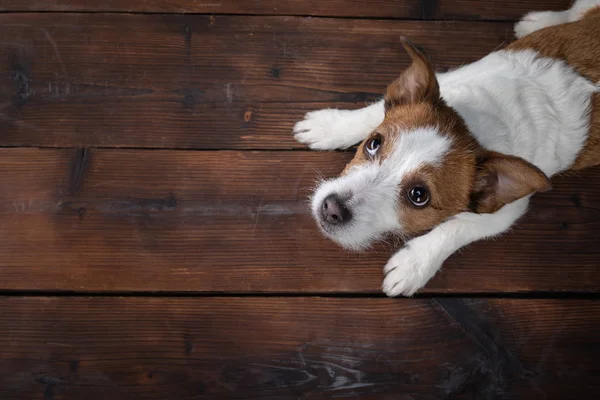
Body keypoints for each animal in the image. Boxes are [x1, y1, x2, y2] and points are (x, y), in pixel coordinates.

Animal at [292, 0, 596, 296]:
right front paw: (331, 125)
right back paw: (543, 21)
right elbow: (374, 111)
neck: (477, 125)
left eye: (418, 196)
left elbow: (457, 227)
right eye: (373, 143)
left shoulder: (505, 212)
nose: (331, 208)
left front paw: (413, 265)